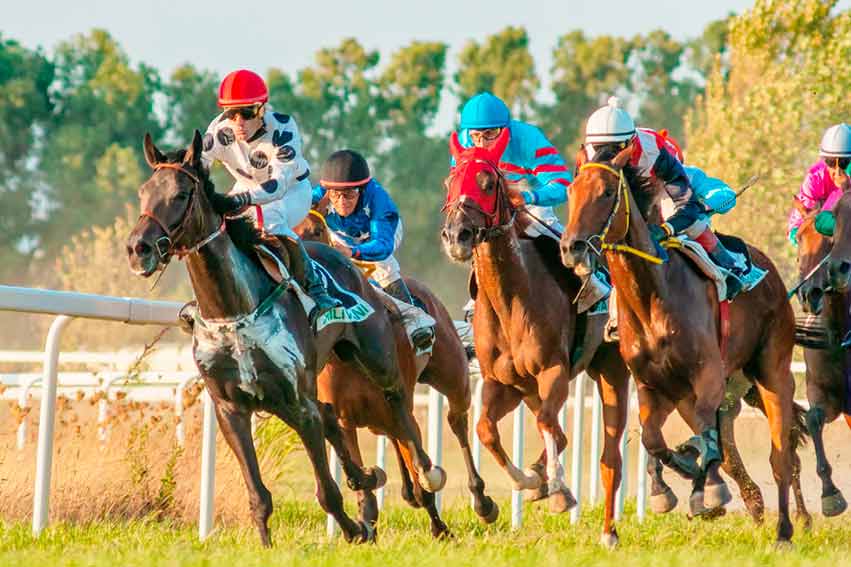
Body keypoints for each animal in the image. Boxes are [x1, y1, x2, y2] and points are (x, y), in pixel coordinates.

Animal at [126, 132, 446, 544]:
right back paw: (367, 477)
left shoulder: (297, 403)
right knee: (336, 418)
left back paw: (425, 473)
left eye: (182, 194)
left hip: (376, 359)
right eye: (143, 192)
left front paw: (354, 528)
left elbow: (327, 493)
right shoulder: (231, 408)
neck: (234, 311)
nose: (138, 248)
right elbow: (259, 494)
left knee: (397, 408)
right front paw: (267, 543)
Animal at [294, 212, 500, 536]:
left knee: (456, 421)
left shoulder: (402, 406)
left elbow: (422, 471)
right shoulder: (346, 419)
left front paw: (439, 525)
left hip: (453, 378)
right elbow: (365, 487)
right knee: (394, 436)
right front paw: (366, 521)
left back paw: (481, 501)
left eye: (316, 230)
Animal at [440, 131, 632, 548]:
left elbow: (547, 424)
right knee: (555, 432)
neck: (511, 299)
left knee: (598, 445)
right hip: (528, 388)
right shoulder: (501, 382)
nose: (456, 235)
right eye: (450, 182)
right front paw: (521, 485)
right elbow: (486, 430)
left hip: (609, 370)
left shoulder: (553, 371)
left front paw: (555, 487)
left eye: (488, 182)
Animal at [564, 144, 804, 544]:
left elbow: (706, 438)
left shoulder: (708, 376)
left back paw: (787, 528)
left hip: (772, 370)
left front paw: (707, 491)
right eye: (570, 192)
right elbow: (654, 440)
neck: (651, 297)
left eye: (608, 193)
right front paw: (671, 487)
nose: (571, 247)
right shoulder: (654, 386)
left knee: (781, 454)